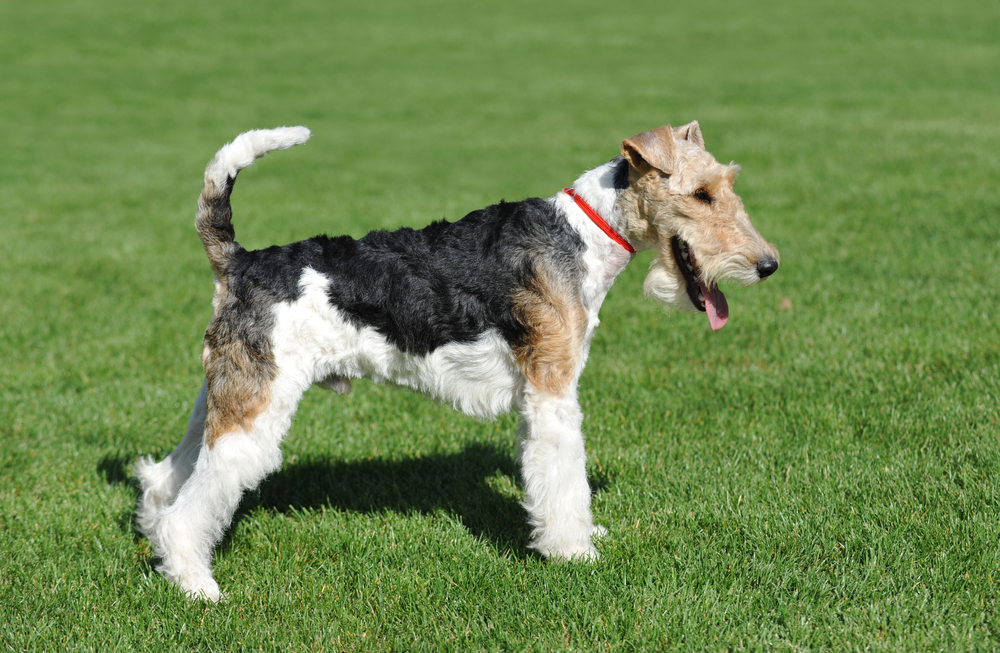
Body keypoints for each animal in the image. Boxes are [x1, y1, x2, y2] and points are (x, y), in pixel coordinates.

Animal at [133, 122, 776, 600]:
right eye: (701, 193)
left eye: (728, 183)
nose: (767, 265)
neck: (586, 234)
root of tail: (238, 261)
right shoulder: (553, 390)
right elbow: (565, 477)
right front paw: (575, 554)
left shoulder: (536, 394)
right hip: (255, 406)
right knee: (192, 506)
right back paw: (198, 586)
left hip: (224, 393)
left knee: (168, 478)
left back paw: (162, 552)